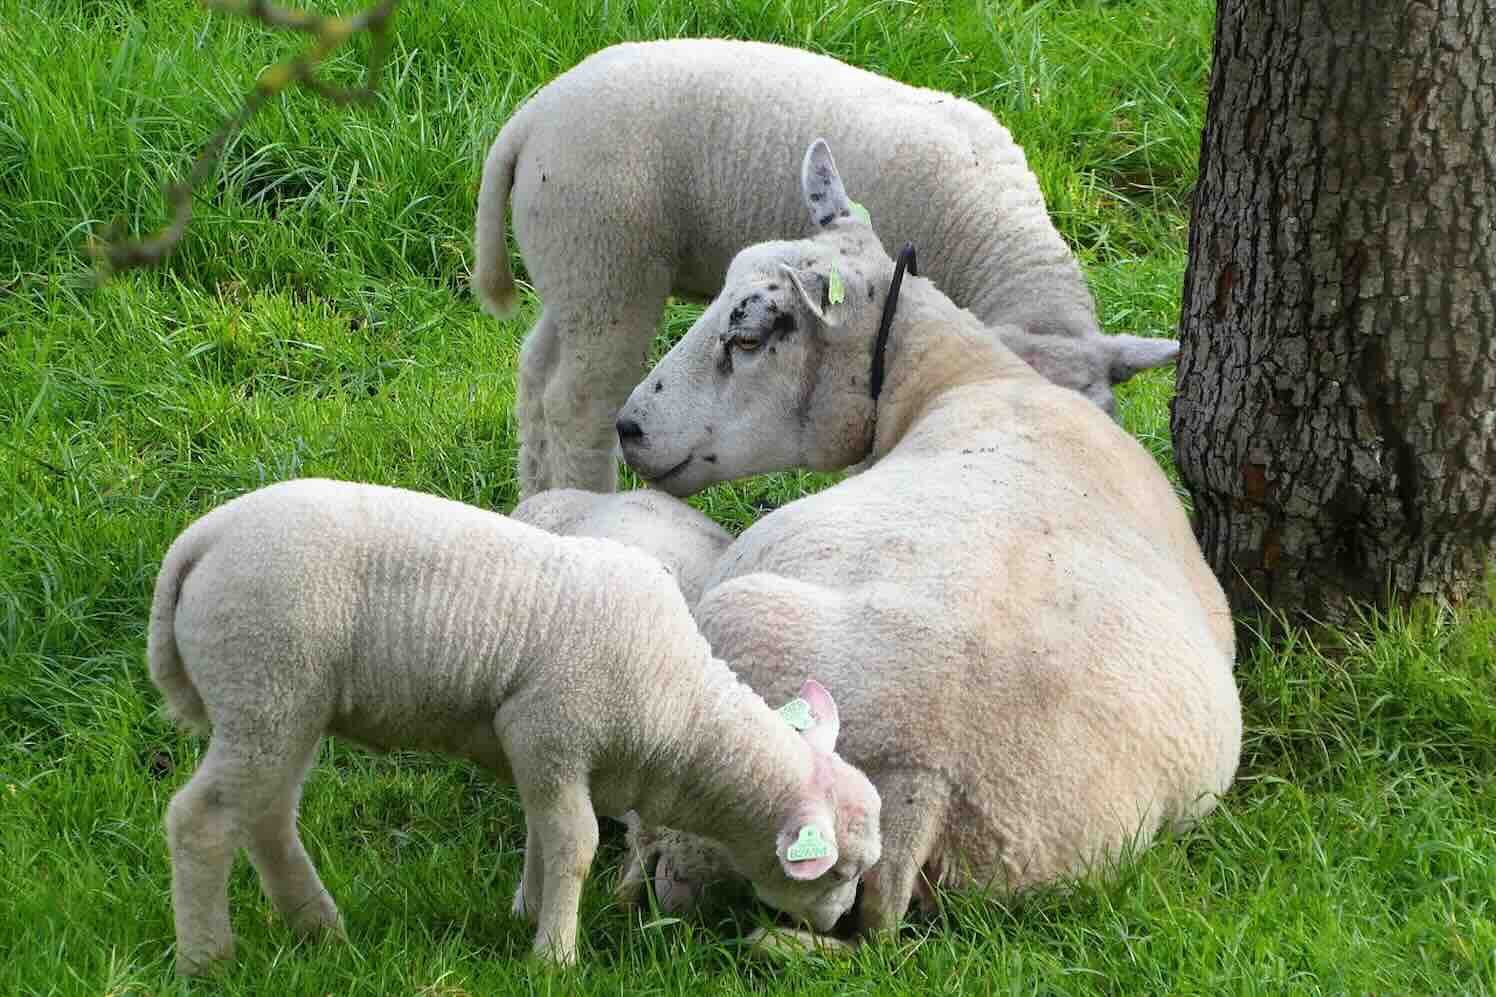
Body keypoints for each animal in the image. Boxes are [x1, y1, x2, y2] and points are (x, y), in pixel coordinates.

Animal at [473, 38, 1181, 498]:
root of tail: (528, 120)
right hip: (607, 262)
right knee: (577, 402)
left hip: (571, 271)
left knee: (535, 375)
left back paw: (535, 499)